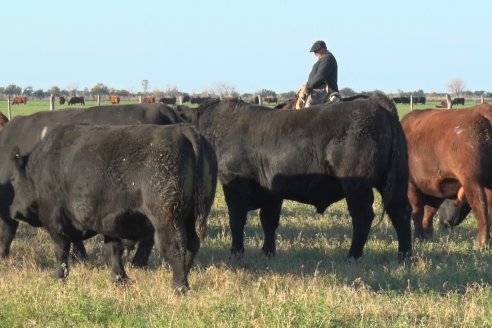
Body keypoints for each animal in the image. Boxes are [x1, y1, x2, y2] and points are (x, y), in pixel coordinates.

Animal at [184, 94, 412, 262]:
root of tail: (376, 102)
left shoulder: (235, 184)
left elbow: (237, 220)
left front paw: (236, 252)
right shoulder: (272, 192)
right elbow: (269, 221)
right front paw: (268, 252)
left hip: (357, 185)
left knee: (363, 216)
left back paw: (352, 256)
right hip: (395, 182)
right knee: (400, 212)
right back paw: (404, 256)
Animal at [402, 103, 492, 246]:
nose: (444, 223)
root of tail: (483, 110)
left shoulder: (411, 185)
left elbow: (417, 211)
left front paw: (419, 237)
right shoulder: (435, 187)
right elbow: (429, 212)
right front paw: (427, 235)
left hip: (472, 181)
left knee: (480, 204)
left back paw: (481, 242)